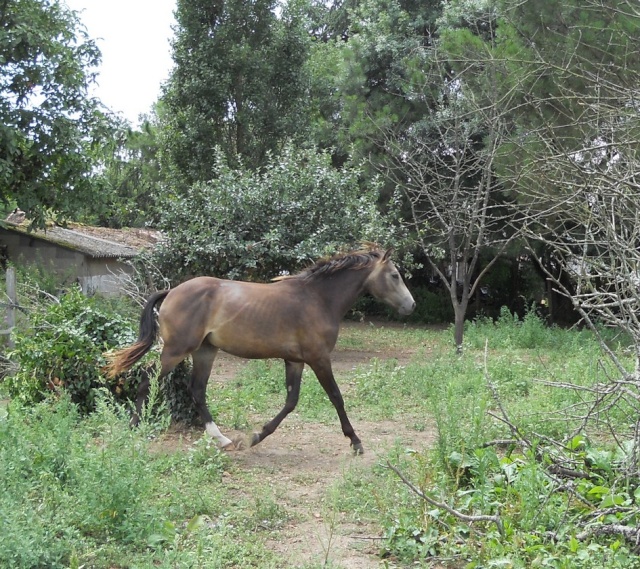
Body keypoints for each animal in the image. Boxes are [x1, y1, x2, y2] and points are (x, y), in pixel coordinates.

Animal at [104, 244, 416, 452]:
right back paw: (134, 428)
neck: (317, 299)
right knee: (148, 378)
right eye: (395, 275)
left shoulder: (295, 361)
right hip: (176, 350)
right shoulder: (319, 359)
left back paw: (222, 439)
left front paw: (256, 436)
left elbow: (291, 401)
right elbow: (336, 397)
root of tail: (172, 291)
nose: (411, 306)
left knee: (197, 390)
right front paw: (355, 441)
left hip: (205, 351)